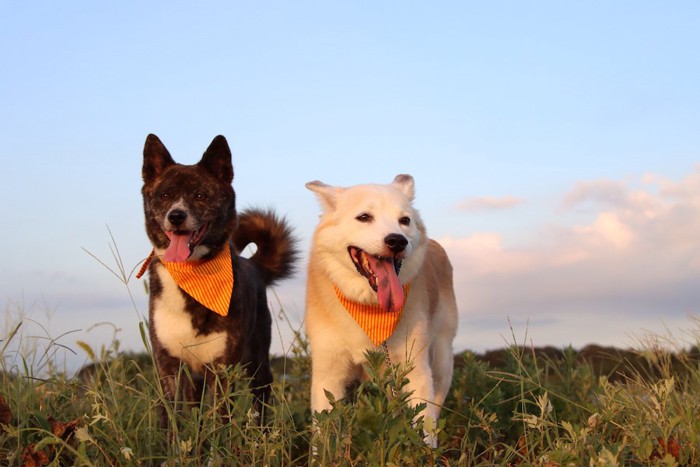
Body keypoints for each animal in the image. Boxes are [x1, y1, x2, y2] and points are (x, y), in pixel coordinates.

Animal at [304, 176, 456, 446]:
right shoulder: (328, 375)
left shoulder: (417, 371)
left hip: (441, 359)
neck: (369, 307)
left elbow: (424, 430)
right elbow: (322, 438)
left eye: (404, 220)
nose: (397, 241)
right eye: (364, 217)